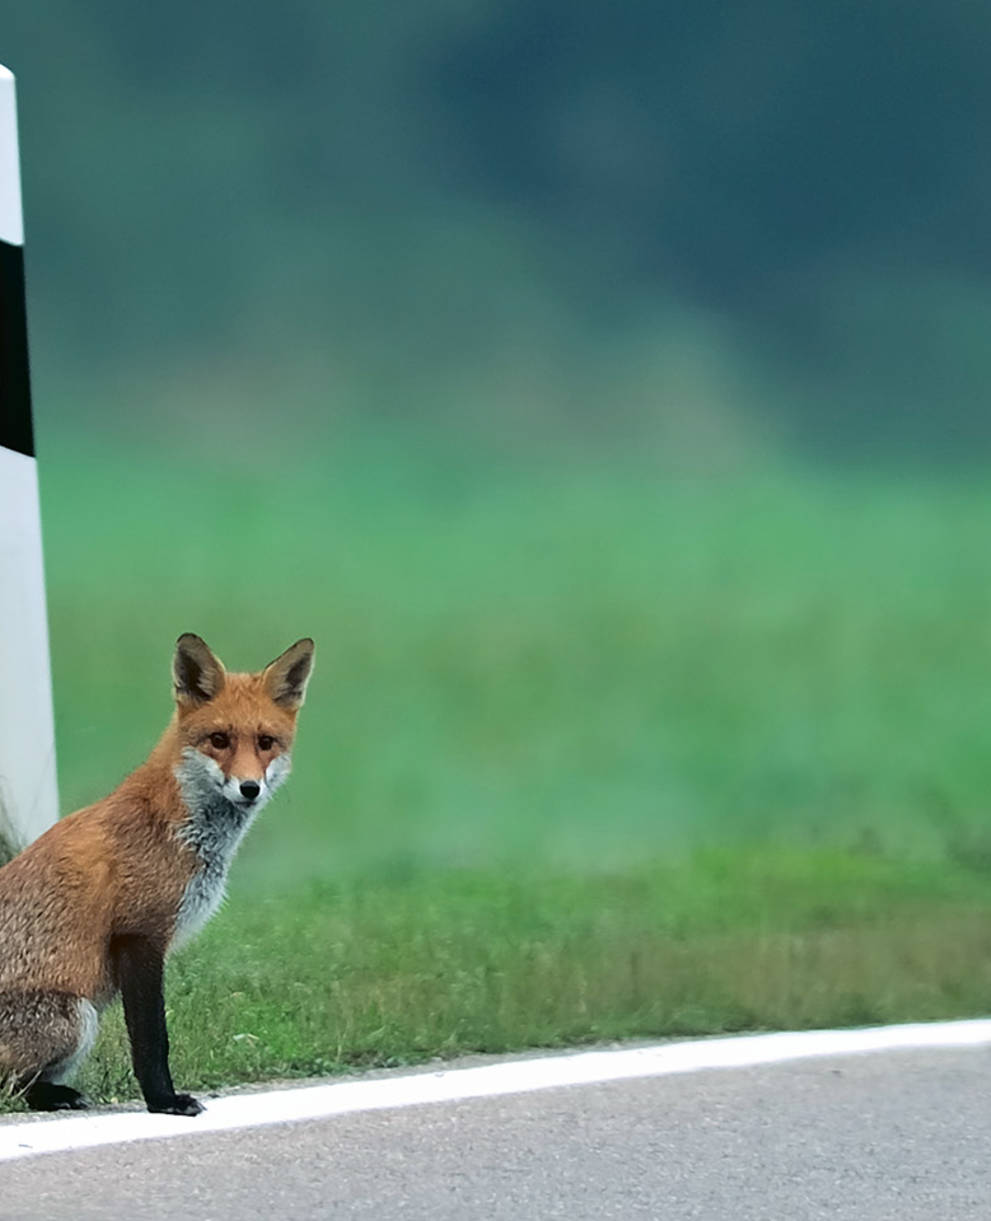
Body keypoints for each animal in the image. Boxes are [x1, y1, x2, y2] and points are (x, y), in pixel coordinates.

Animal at [0, 639, 312, 1118]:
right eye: (219, 740)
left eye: (265, 742)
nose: (249, 788)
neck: (176, 826)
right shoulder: (140, 936)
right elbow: (152, 1040)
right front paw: (163, 1101)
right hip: (75, 1018)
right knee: (12, 1088)